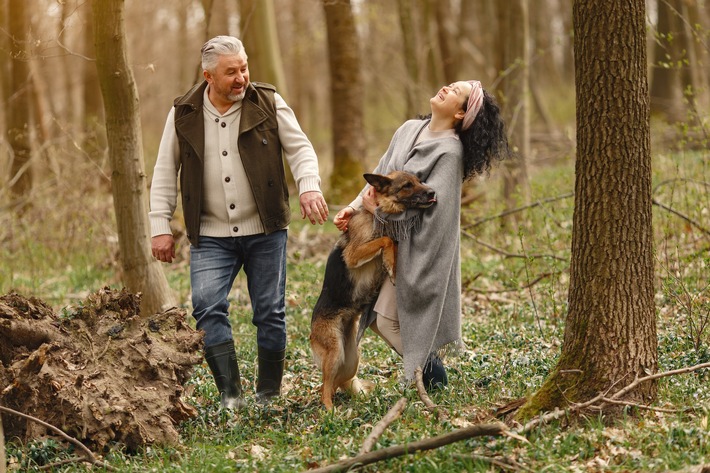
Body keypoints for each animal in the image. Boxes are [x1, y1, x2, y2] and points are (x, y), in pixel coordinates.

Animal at [312, 171, 440, 410]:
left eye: (419, 181)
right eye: (407, 185)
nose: (432, 192)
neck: (376, 215)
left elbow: (392, 242)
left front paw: (392, 264)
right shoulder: (354, 254)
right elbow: (385, 239)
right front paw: (390, 264)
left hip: (351, 359)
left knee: (335, 384)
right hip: (335, 353)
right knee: (324, 387)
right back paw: (329, 410)